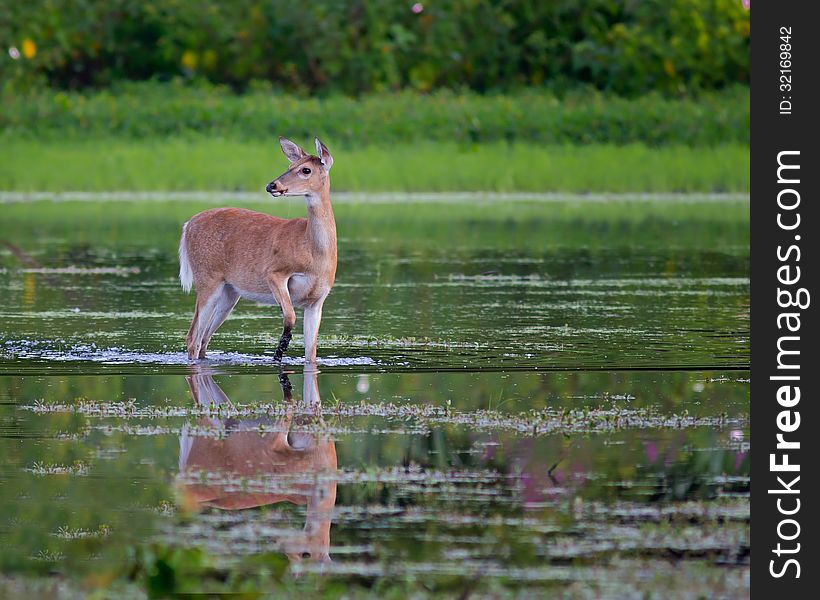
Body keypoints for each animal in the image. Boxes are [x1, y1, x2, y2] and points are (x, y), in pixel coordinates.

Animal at [179, 137, 336, 364]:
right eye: (289, 166)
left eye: (306, 170)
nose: (272, 185)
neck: (314, 254)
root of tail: (187, 225)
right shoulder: (274, 272)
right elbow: (290, 316)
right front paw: (278, 353)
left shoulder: (317, 301)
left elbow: (311, 354)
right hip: (207, 277)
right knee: (193, 337)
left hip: (229, 292)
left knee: (204, 339)